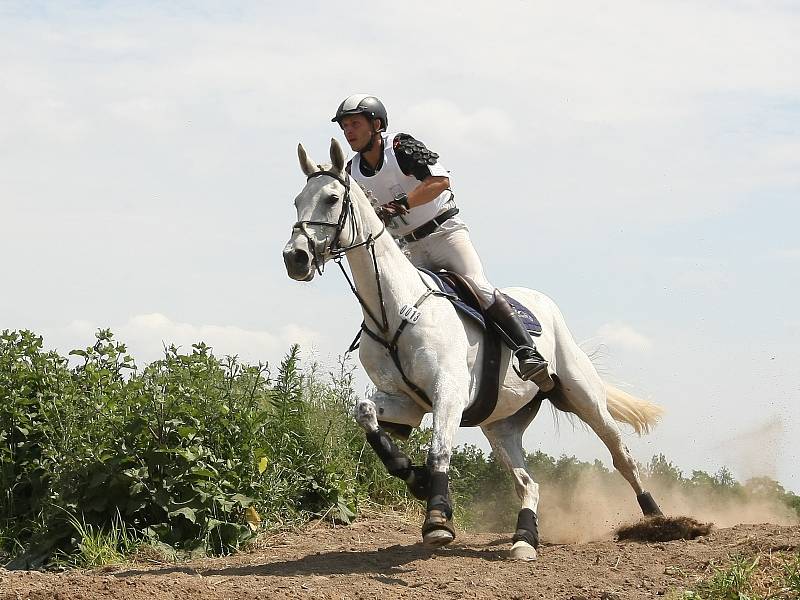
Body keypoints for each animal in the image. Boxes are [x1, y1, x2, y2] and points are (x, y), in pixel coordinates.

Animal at [284, 138, 664, 560]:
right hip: (499, 424)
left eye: (332, 198)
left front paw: (437, 521)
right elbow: (366, 414)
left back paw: (657, 517)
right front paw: (415, 479)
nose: (295, 258)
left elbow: (439, 452)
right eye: (297, 201)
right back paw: (524, 539)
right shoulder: (404, 401)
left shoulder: (449, 393)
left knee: (620, 454)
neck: (393, 308)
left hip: (582, 395)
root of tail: (543, 302)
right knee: (527, 482)